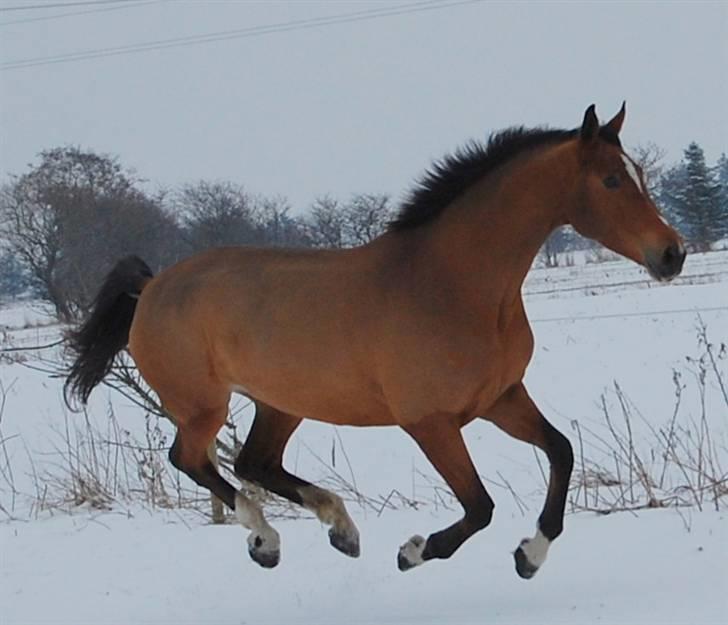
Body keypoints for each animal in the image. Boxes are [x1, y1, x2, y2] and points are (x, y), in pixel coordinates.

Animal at [65, 105, 684, 576]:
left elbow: (561, 451)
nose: (671, 254)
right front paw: (415, 551)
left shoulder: (501, 399)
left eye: (638, 173)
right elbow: (479, 506)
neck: (455, 286)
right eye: (610, 180)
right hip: (201, 406)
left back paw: (339, 528)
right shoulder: (430, 422)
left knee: (255, 462)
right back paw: (266, 539)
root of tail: (151, 287)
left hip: (281, 403)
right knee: (193, 459)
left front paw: (529, 556)